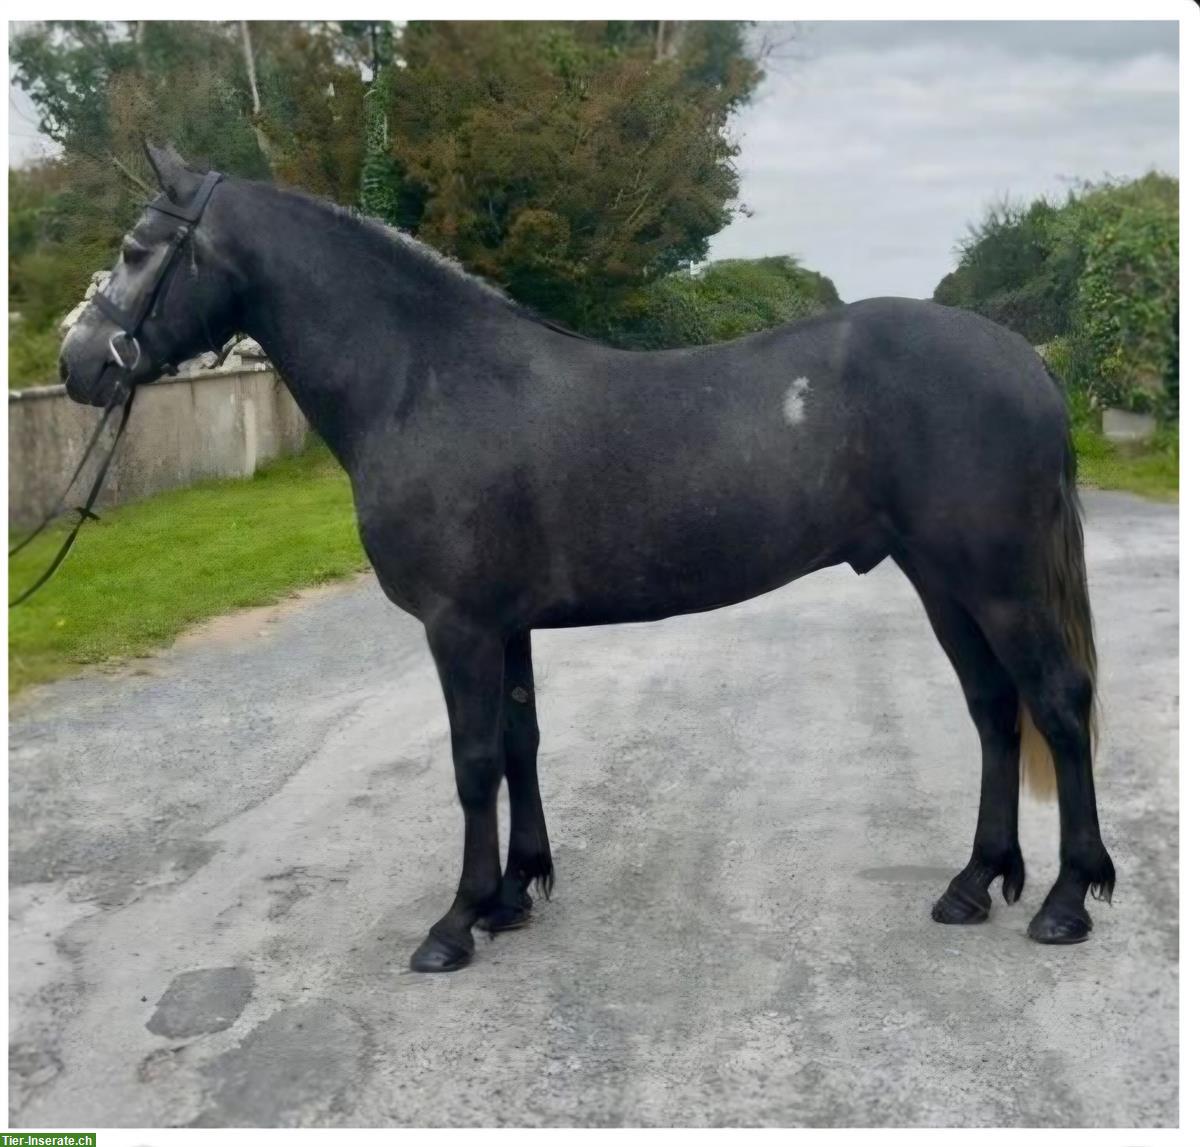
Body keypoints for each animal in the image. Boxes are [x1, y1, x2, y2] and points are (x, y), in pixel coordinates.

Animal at [58, 144, 1115, 972]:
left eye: (137, 249)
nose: (78, 364)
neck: (425, 381)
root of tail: (1028, 360)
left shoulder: (459, 626)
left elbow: (473, 760)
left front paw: (456, 921)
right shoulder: (504, 624)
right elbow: (521, 741)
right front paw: (514, 894)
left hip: (999, 583)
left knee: (1058, 705)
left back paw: (1068, 899)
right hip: (942, 581)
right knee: (994, 711)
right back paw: (974, 882)